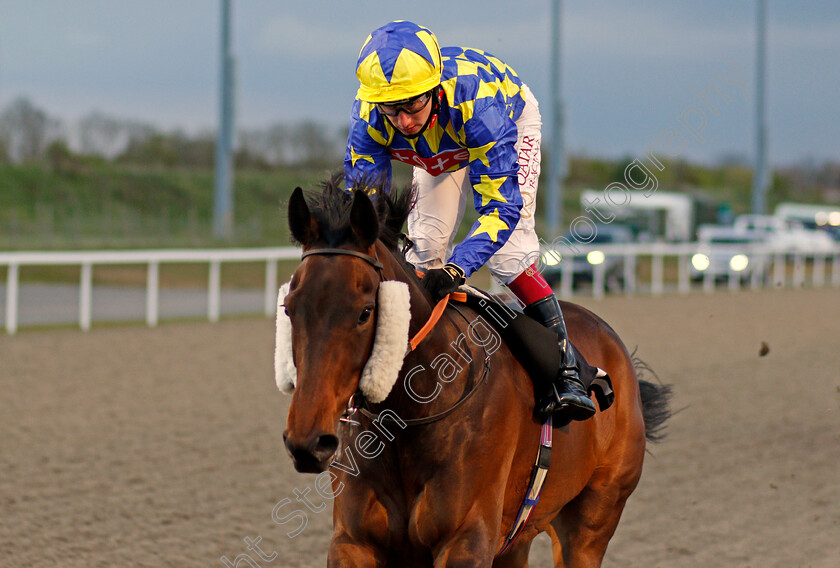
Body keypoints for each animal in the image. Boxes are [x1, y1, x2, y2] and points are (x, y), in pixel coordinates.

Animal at [280, 179, 668, 568]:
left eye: (365, 311)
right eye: (289, 308)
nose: (309, 441)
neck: (412, 412)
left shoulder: (467, 539)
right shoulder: (352, 541)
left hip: (593, 518)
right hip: (518, 539)